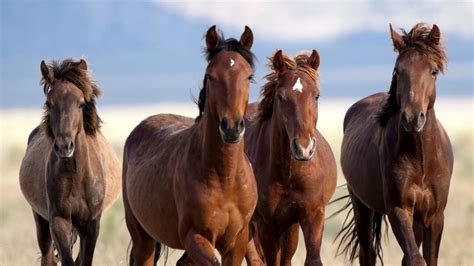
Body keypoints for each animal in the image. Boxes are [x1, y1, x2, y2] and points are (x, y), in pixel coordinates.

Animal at [18, 59, 122, 264]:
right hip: (41, 222)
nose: (64, 146)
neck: (77, 176)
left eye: (81, 103)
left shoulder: (91, 225)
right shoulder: (59, 221)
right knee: (47, 257)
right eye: (48, 103)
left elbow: (84, 260)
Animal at [120, 25, 258, 266]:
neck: (225, 177)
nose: (231, 127)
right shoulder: (195, 236)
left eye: (248, 76)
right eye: (210, 76)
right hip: (142, 237)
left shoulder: (237, 244)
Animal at [243, 50, 338, 266]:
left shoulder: (312, 214)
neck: (288, 173)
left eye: (316, 95)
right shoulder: (266, 225)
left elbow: (312, 259)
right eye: (280, 97)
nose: (303, 148)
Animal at [336, 23, 456, 266]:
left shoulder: (434, 216)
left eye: (433, 71)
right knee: (367, 254)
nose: (412, 118)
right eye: (398, 70)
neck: (420, 159)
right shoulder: (399, 210)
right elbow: (415, 259)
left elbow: (425, 258)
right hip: (361, 206)